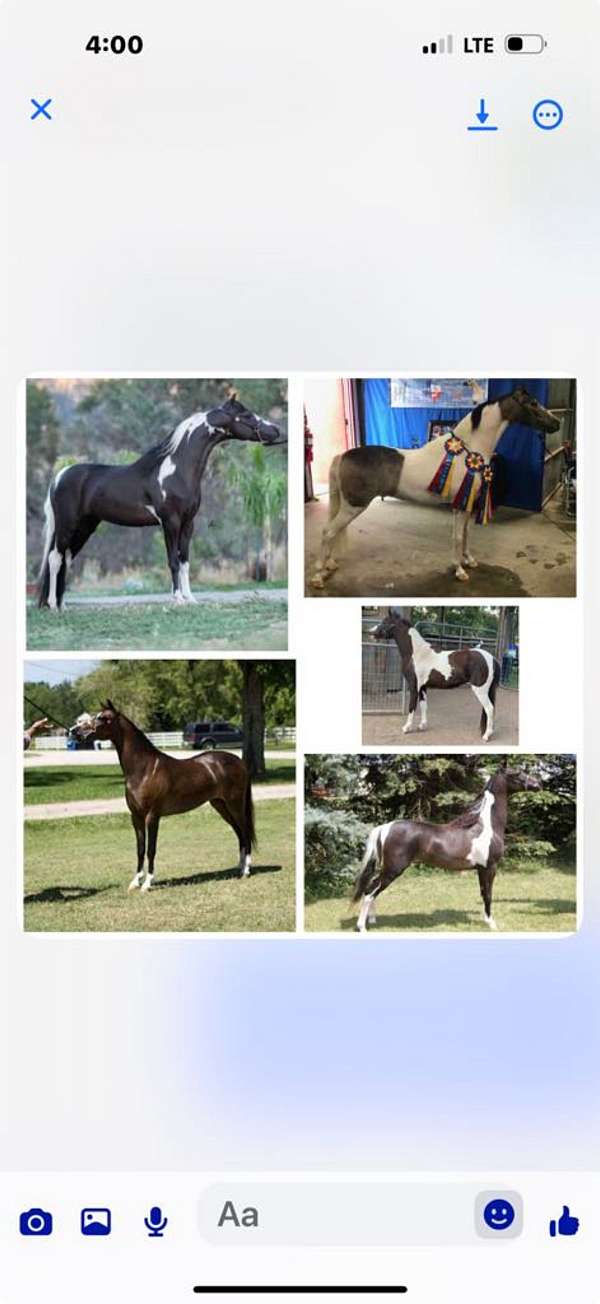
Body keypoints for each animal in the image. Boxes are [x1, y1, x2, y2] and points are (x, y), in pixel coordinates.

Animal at [38, 396, 284, 610]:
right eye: (247, 415)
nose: (277, 431)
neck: (177, 471)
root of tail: (59, 477)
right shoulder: (170, 522)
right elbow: (172, 561)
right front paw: (177, 599)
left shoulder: (188, 524)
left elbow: (184, 561)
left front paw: (190, 598)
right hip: (67, 525)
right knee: (54, 558)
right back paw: (52, 605)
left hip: (86, 526)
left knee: (67, 559)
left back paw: (62, 604)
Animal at [70, 701, 256, 892]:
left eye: (102, 718)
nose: (74, 731)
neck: (144, 769)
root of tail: (239, 762)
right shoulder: (136, 817)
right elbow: (140, 849)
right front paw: (135, 881)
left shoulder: (152, 816)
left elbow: (151, 849)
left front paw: (147, 883)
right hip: (220, 805)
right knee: (239, 833)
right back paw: (240, 868)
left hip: (235, 804)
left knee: (245, 831)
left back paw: (246, 870)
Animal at [310, 386, 560, 588]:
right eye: (532, 403)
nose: (556, 423)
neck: (470, 450)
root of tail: (343, 455)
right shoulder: (460, 505)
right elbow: (457, 537)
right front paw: (459, 571)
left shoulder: (467, 504)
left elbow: (466, 534)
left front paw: (469, 561)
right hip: (353, 506)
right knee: (328, 531)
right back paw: (318, 576)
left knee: (332, 532)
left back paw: (329, 565)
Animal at [352, 766, 541, 933]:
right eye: (517, 774)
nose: (538, 784)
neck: (486, 826)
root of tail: (384, 827)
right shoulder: (490, 868)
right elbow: (488, 894)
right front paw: (492, 924)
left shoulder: (480, 869)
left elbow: (482, 893)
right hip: (393, 870)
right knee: (370, 892)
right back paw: (362, 927)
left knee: (372, 888)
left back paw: (372, 920)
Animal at [372, 612, 500, 741]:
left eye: (385, 622)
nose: (371, 632)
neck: (416, 653)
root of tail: (492, 658)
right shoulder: (422, 687)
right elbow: (423, 705)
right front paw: (422, 725)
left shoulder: (414, 686)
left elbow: (411, 706)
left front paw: (406, 728)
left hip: (480, 690)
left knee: (489, 709)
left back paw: (486, 735)